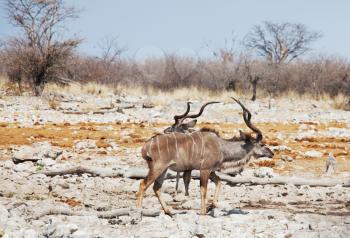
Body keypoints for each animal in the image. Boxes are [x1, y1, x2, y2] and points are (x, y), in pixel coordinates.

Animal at [137, 97, 274, 215]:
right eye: (262, 144)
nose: (272, 153)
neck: (221, 146)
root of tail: (146, 146)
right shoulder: (205, 170)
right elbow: (203, 190)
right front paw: (203, 212)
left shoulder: (211, 171)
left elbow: (219, 182)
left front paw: (212, 206)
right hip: (157, 168)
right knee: (143, 184)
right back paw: (138, 211)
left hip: (163, 170)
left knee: (156, 187)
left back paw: (169, 211)